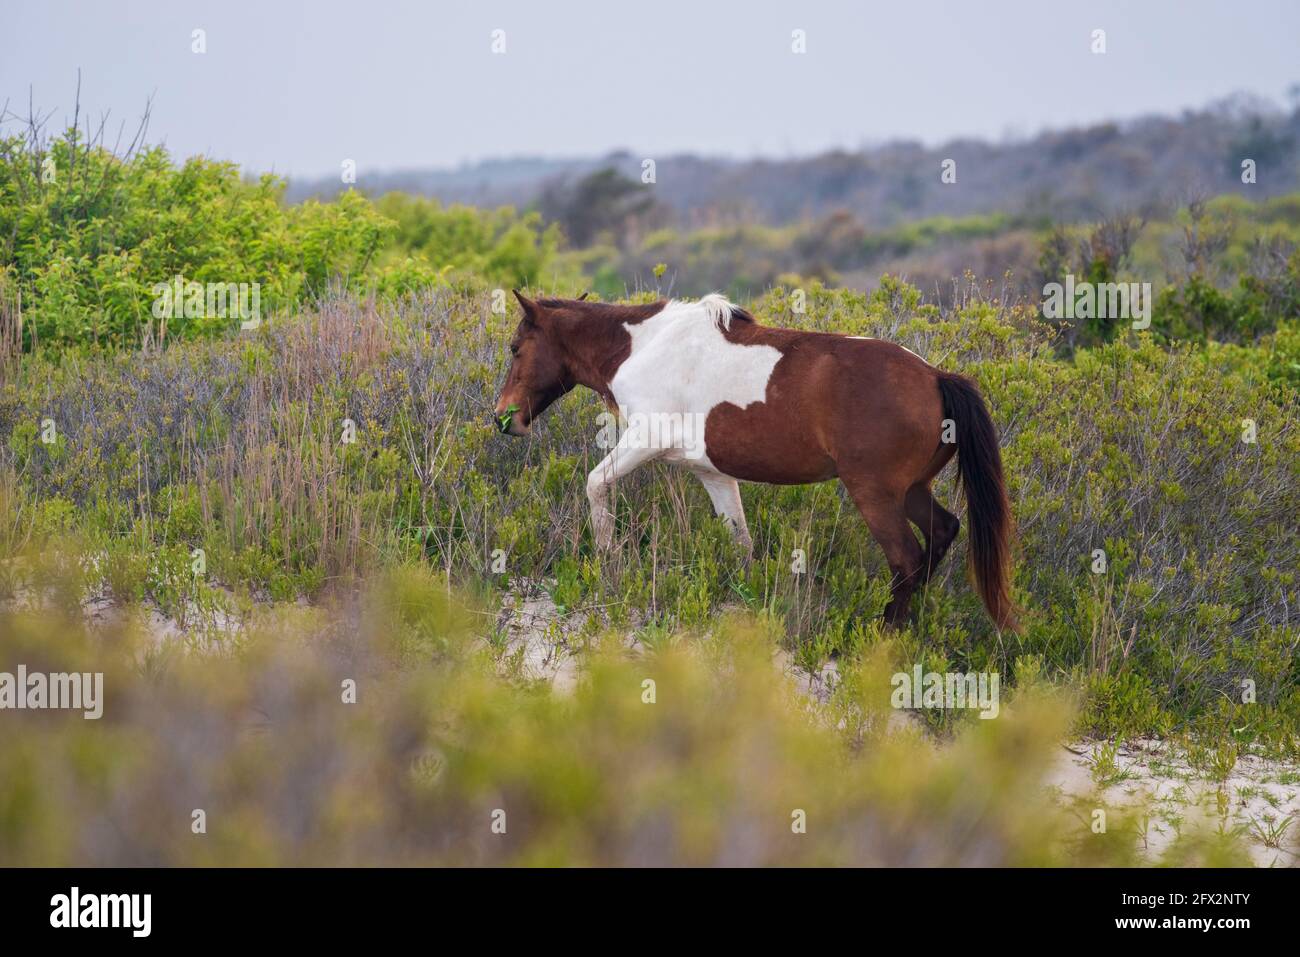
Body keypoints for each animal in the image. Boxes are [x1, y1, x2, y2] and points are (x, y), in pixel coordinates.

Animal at [493, 295, 1013, 631]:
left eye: (516, 348)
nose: (504, 418)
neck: (643, 347)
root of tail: (936, 377)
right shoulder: (712, 473)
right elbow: (740, 542)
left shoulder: (644, 439)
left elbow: (596, 484)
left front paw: (608, 559)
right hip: (912, 491)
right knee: (942, 533)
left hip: (876, 495)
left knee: (906, 558)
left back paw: (884, 634)